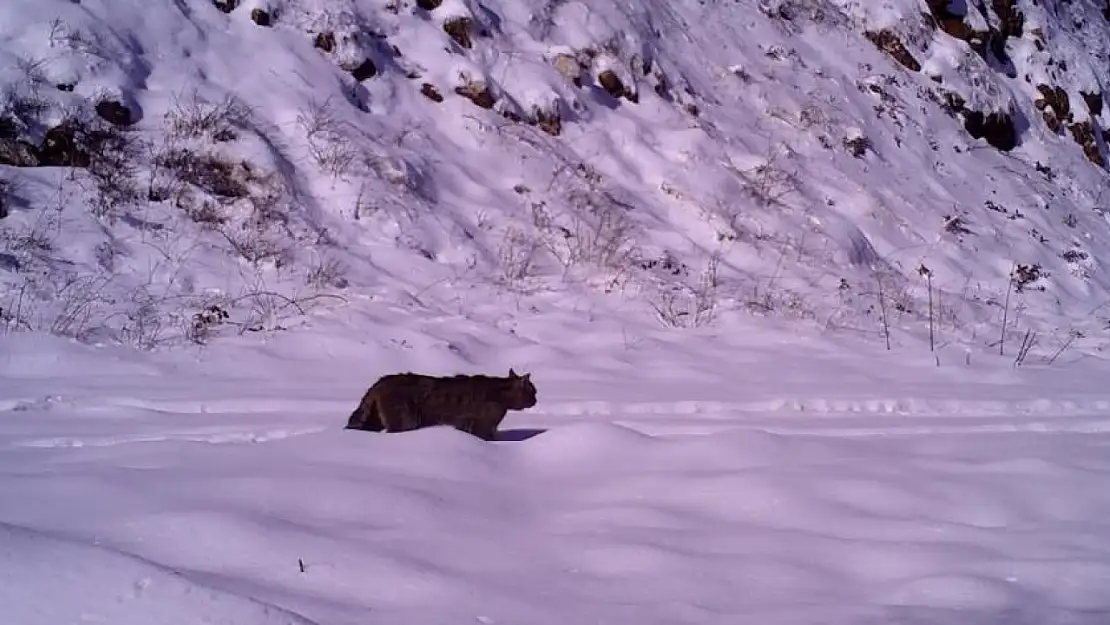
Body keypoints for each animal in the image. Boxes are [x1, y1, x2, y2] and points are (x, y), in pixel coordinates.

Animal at [344, 368, 539, 441]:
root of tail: (380, 382)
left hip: (374, 419)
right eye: (534, 391)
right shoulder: (479, 425)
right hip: (405, 418)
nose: (536, 400)